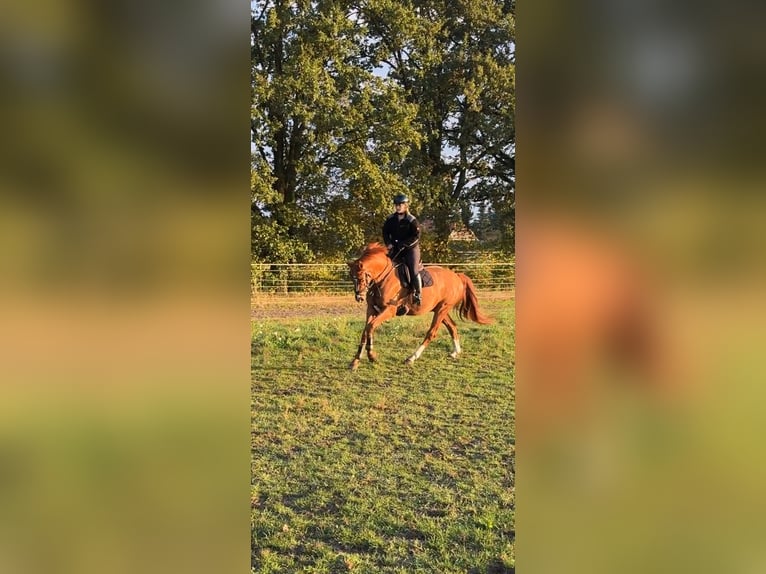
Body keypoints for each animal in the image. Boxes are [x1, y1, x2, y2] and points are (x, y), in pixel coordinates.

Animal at [346, 243, 492, 370]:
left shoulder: (389, 310)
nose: (359, 297)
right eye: (352, 278)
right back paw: (456, 352)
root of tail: (456, 276)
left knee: (431, 333)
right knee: (452, 327)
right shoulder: (371, 309)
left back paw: (411, 358)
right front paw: (355, 361)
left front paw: (372, 356)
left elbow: (370, 327)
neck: (383, 279)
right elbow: (365, 331)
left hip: (442, 309)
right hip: (440, 310)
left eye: (360, 277)